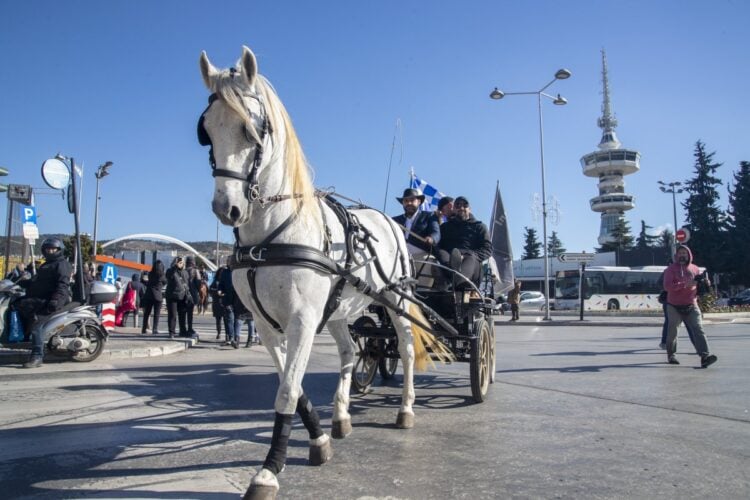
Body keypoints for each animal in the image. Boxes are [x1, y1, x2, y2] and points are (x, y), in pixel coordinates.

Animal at [200, 47, 432, 500]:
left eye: (252, 130)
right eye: (207, 132)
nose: (227, 209)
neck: (273, 232)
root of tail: (391, 219)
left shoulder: (303, 319)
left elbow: (287, 389)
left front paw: (269, 469)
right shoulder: (266, 324)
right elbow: (292, 383)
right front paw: (319, 437)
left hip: (395, 299)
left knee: (406, 348)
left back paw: (406, 408)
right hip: (341, 311)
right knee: (348, 353)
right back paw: (341, 417)